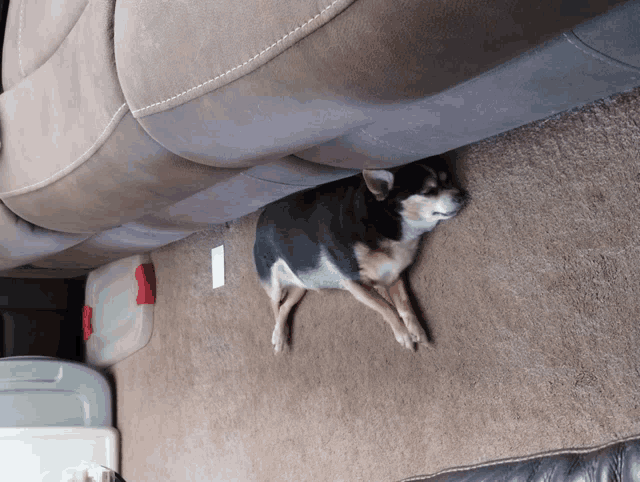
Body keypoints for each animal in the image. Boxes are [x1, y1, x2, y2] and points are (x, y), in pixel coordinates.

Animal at [252, 160, 468, 352]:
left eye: (448, 180)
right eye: (428, 191)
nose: (461, 194)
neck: (383, 222)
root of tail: (259, 221)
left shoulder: (393, 276)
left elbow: (405, 305)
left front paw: (417, 331)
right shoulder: (353, 284)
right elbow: (386, 308)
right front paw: (403, 335)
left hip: (301, 285)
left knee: (285, 307)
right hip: (274, 284)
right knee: (275, 306)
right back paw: (278, 337)